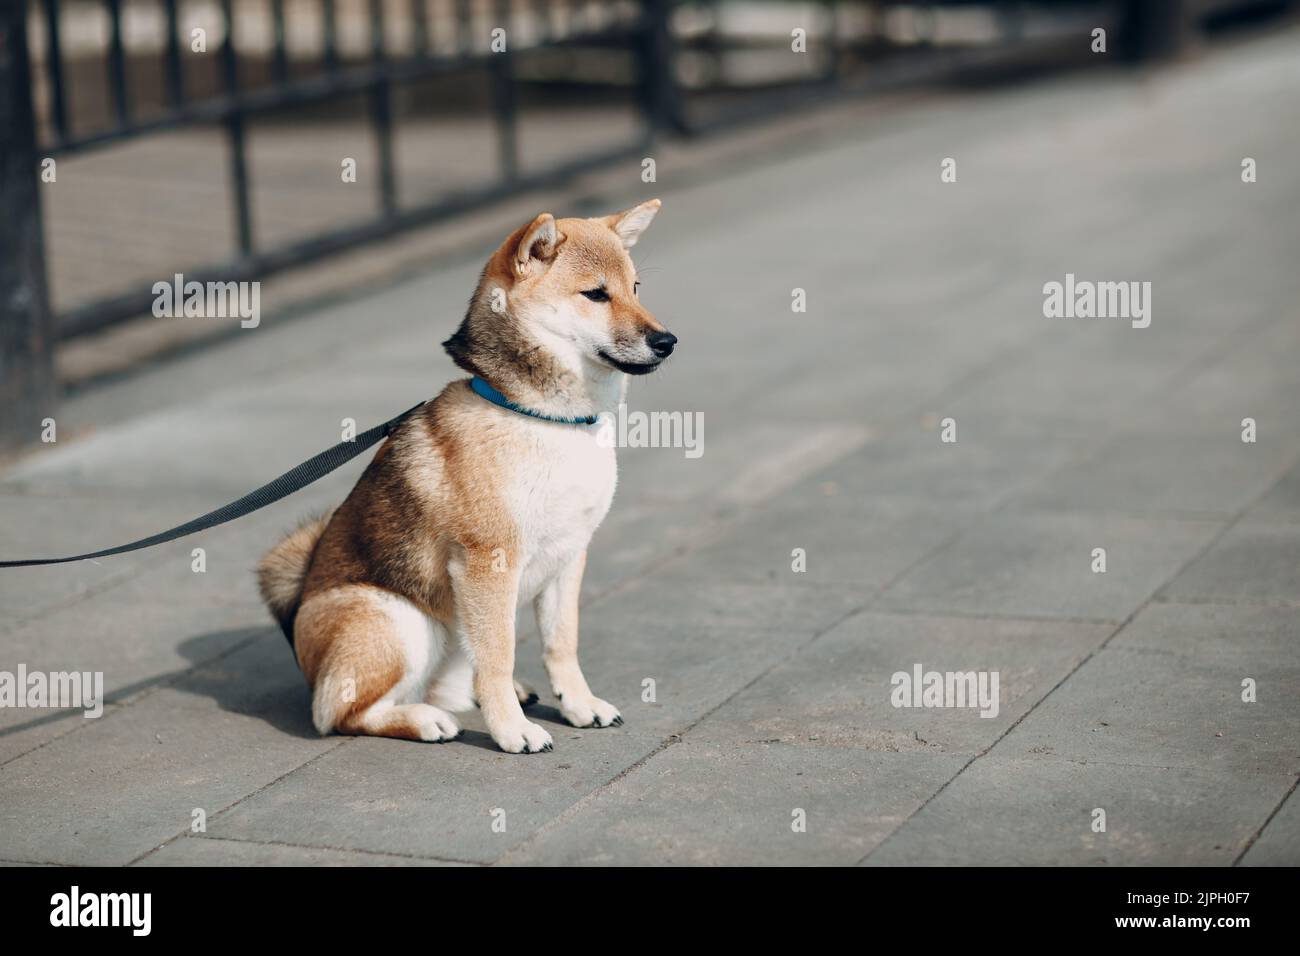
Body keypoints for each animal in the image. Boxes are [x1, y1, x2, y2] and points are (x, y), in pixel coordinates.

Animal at [258, 200, 676, 754]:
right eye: (595, 294)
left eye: (635, 288)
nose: (667, 340)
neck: (543, 417)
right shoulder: (489, 562)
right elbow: (498, 657)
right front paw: (512, 732)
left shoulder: (570, 555)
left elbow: (561, 644)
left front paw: (580, 705)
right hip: (399, 621)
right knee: (340, 713)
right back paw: (423, 720)